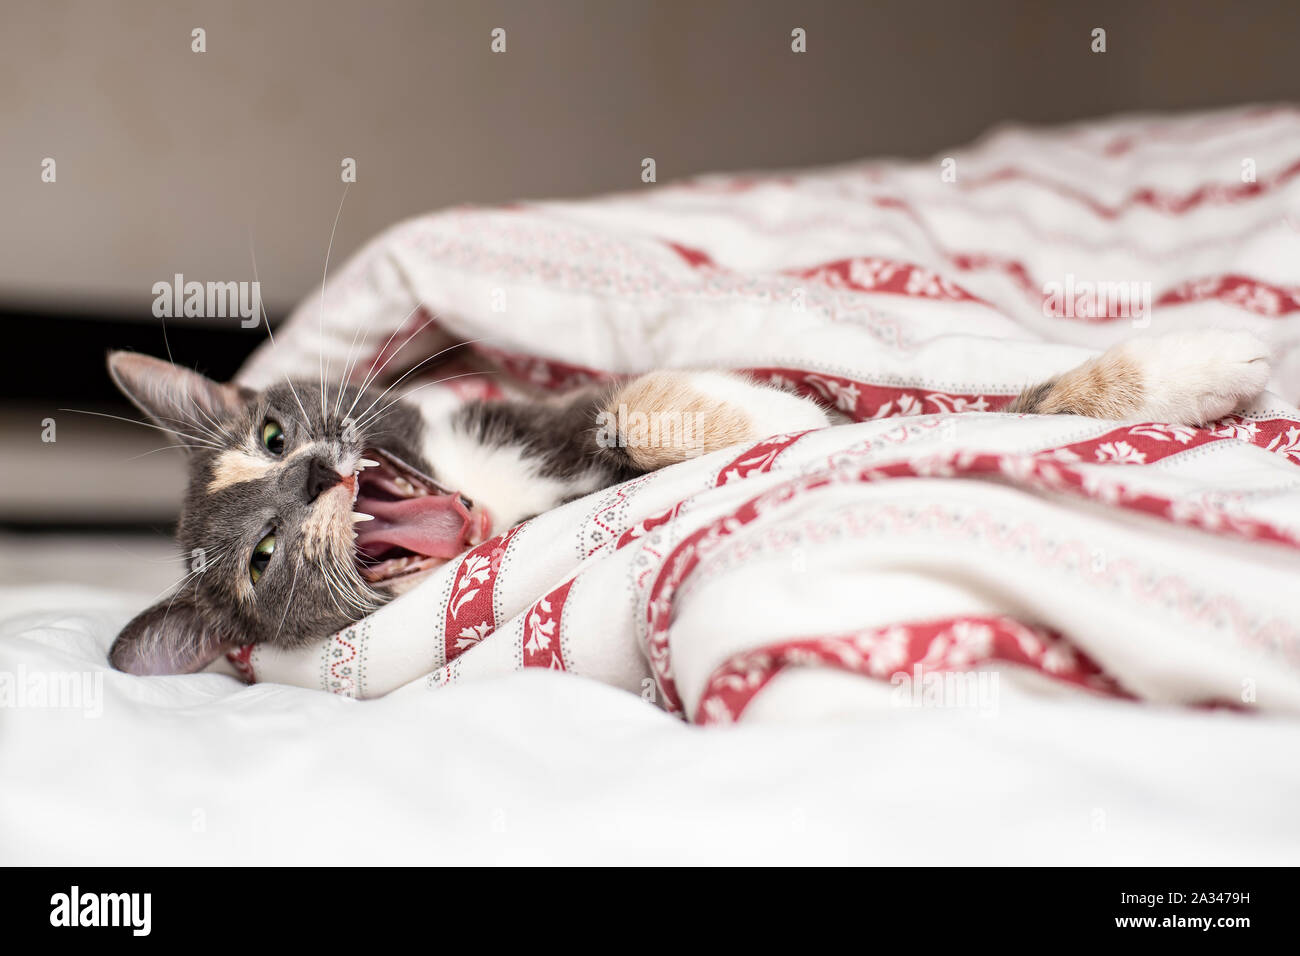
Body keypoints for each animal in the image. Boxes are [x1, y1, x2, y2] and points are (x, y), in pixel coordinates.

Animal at [104, 332, 1268, 676]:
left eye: (269, 437)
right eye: (262, 561)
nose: (309, 477)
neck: (499, 498)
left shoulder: (541, 406)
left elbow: (643, 399)